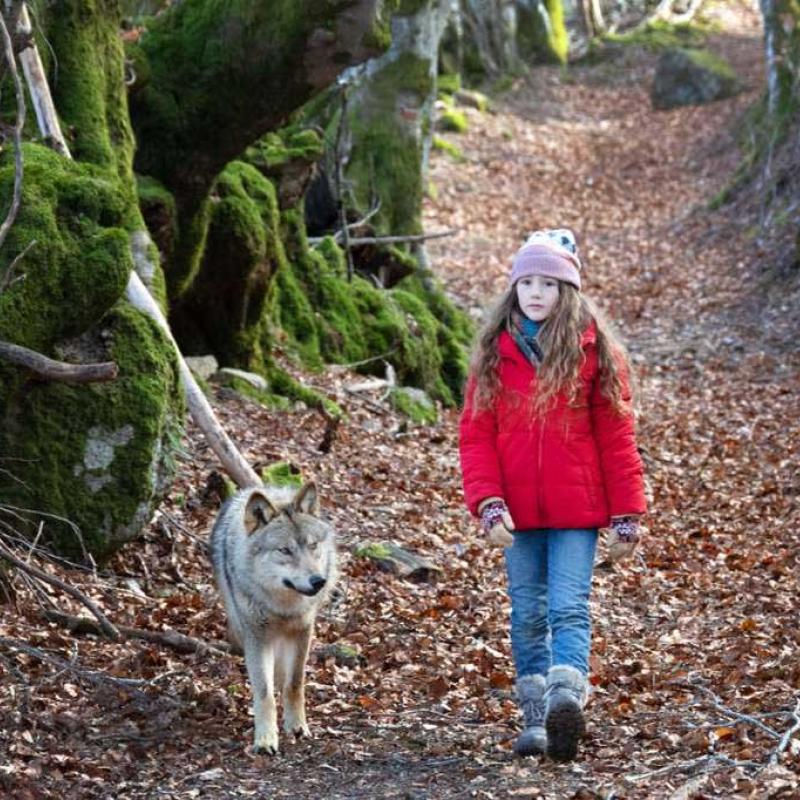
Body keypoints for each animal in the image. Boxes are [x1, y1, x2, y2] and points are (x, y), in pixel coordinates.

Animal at [208, 482, 336, 756]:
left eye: (312, 546)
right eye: (285, 550)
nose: (318, 581)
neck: (282, 606)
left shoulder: (303, 630)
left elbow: (295, 683)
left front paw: (297, 726)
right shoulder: (257, 637)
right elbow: (264, 692)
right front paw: (266, 739)